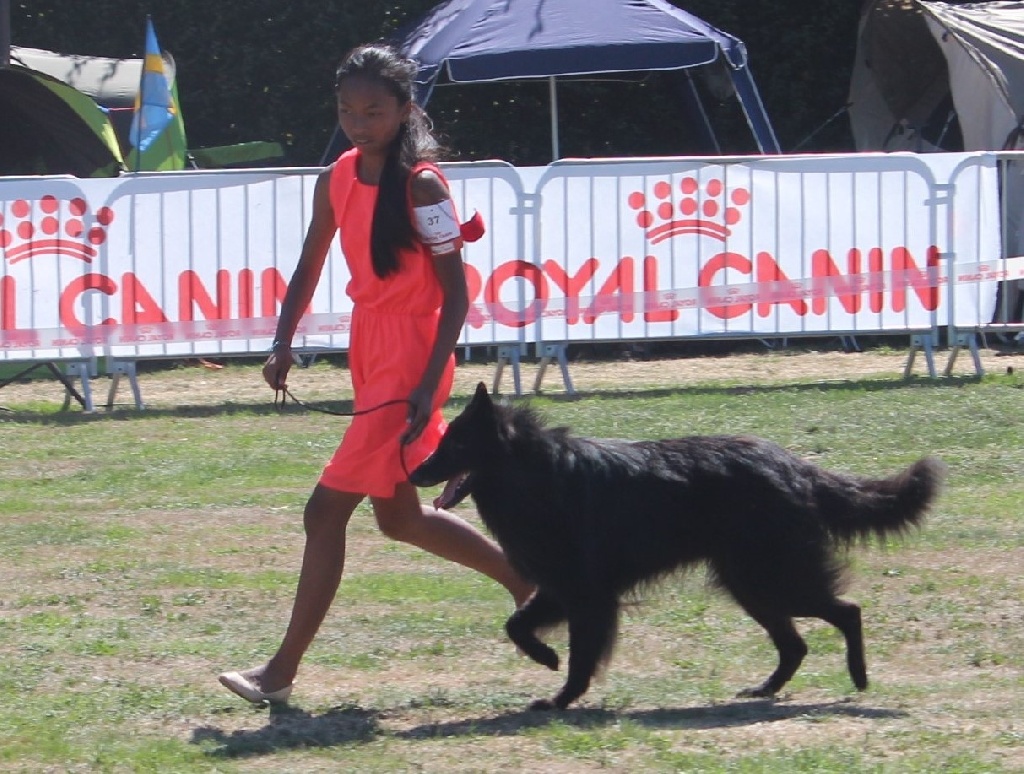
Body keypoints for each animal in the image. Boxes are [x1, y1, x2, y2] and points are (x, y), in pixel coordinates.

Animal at [407, 380, 942, 708]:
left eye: (455, 445)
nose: (412, 473)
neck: (534, 474)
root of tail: (796, 467)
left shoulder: (586, 596)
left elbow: (578, 655)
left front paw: (561, 695)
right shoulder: (561, 589)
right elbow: (516, 623)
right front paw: (546, 660)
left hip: (770, 578)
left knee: (847, 611)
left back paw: (858, 676)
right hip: (751, 586)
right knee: (796, 644)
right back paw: (765, 689)